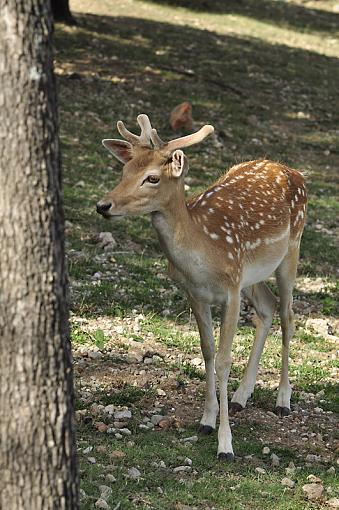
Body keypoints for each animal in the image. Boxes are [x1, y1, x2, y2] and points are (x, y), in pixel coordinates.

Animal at [95, 113, 308, 460]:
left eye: (152, 178)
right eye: (125, 171)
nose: (103, 205)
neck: (202, 251)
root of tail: (294, 171)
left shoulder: (231, 291)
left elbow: (223, 359)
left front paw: (225, 445)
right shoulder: (196, 294)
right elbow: (207, 352)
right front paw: (207, 420)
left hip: (291, 250)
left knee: (289, 315)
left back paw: (282, 400)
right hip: (253, 274)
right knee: (268, 307)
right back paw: (240, 397)